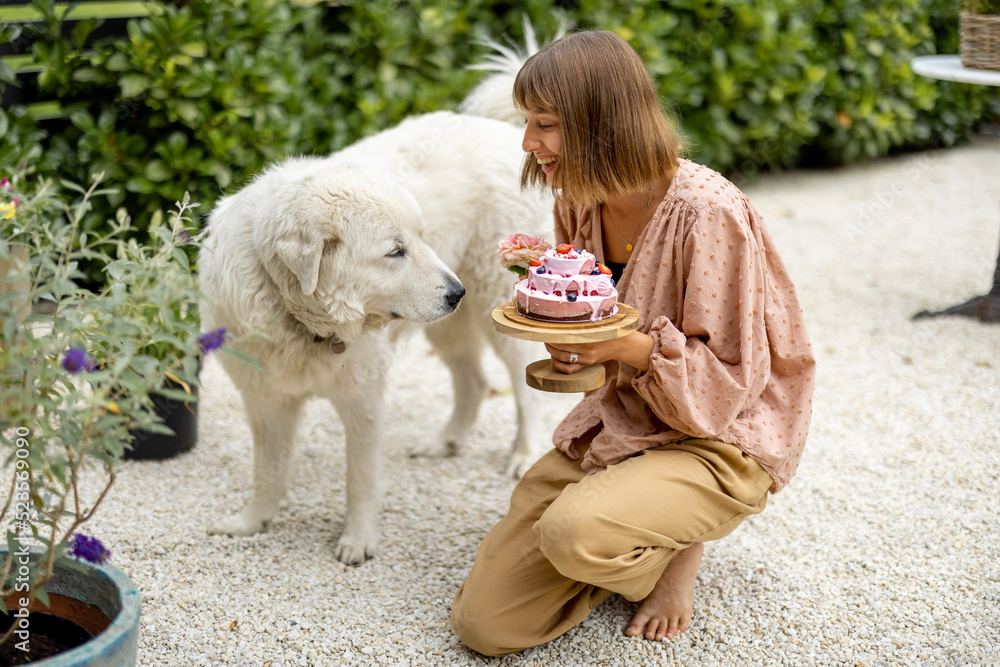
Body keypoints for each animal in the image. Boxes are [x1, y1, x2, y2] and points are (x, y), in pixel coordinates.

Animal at [199, 41, 552, 564]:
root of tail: (506, 129)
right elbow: (269, 471)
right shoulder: (265, 401)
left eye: (421, 238)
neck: (297, 315)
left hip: (496, 311)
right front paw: (253, 522)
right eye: (395, 251)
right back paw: (443, 442)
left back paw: (525, 455)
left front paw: (357, 540)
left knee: (525, 392)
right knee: (472, 382)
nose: (456, 292)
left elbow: (360, 480)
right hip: (447, 326)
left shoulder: (362, 399)